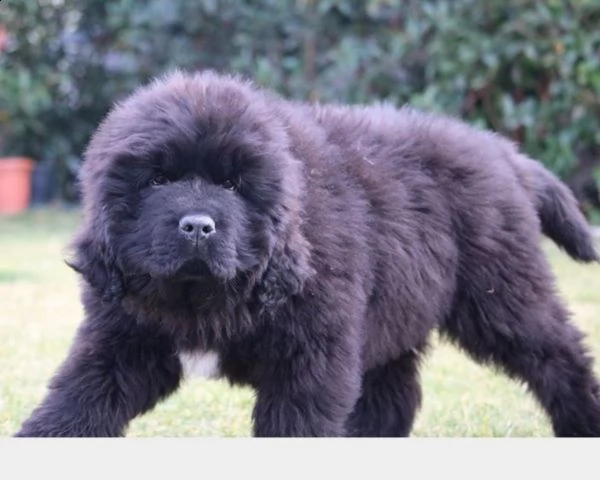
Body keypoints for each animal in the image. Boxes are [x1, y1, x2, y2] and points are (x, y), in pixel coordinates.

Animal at [12, 72, 600, 438]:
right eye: (158, 179)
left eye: (233, 184)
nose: (198, 226)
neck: (203, 297)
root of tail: (501, 150)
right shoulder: (123, 340)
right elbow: (76, 401)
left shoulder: (312, 359)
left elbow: (297, 426)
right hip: (392, 312)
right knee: (394, 394)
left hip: (501, 296)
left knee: (558, 354)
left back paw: (583, 421)